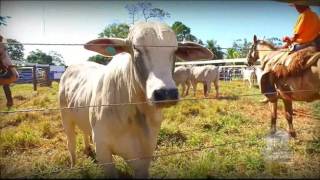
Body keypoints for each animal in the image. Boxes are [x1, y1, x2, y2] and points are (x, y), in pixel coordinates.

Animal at [58, 21, 212, 178]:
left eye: (175, 50)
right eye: (136, 48)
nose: (166, 93)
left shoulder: (146, 154)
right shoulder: (103, 150)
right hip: (66, 118)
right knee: (71, 144)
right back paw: (73, 166)